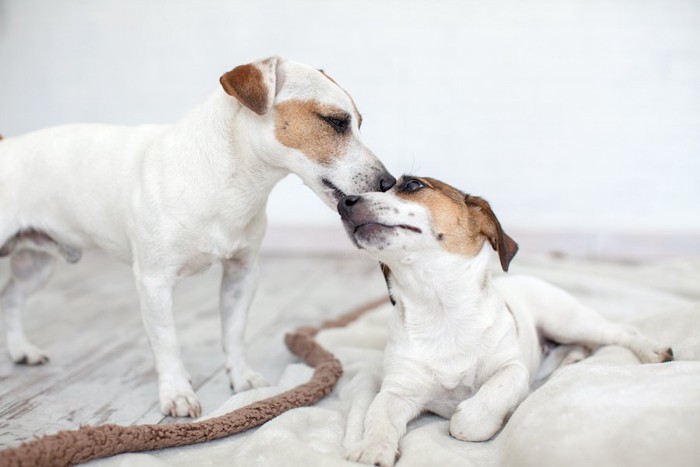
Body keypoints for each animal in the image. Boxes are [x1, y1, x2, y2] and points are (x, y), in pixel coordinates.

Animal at [0, 56, 394, 418]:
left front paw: (242, 378)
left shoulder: (241, 274)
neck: (228, 182)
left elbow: (233, 332)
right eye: (335, 122)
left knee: (12, 298)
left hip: (36, 266)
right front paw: (176, 392)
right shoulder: (154, 282)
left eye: (358, 123)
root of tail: (8, 145)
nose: (388, 181)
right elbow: (167, 342)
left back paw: (21, 349)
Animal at [336, 176, 676, 467]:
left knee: (619, 332)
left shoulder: (512, 370)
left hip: (566, 320)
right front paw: (373, 448)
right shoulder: (396, 392)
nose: (343, 202)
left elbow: (477, 411)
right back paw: (571, 360)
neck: (440, 308)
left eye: (412, 185)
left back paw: (652, 350)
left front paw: (470, 419)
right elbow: (378, 417)